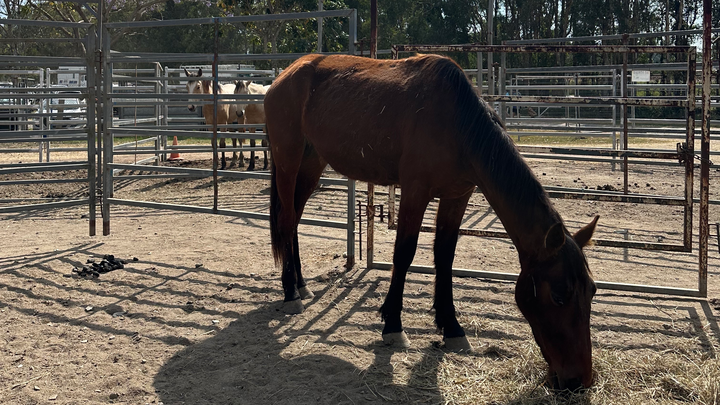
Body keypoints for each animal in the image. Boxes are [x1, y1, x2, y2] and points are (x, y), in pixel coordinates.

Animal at [264, 53, 599, 391]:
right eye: (559, 295)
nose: (580, 380)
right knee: (287, 220)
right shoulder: (415, 191)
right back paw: (291, 293)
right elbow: (404, 254)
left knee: (295, 221)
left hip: (312, 162)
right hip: (288, 161)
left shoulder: (457, 196)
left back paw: (302, 284)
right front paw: (393, 325)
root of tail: (285, 75)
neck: (458, 123)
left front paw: (451, 328)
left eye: (592, 291)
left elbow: (445, 256)